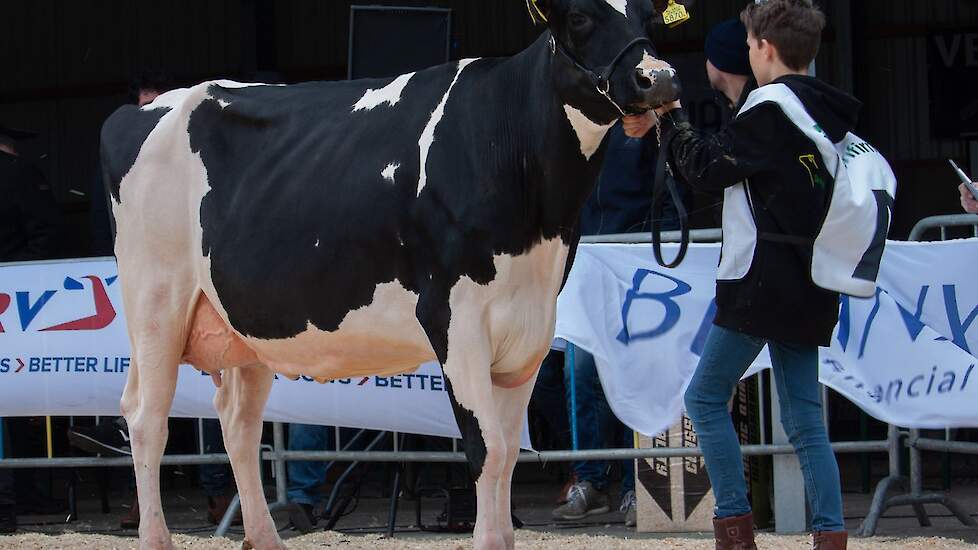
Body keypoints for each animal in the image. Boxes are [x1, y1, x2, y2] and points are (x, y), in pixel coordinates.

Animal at [97, 2, 688, 548]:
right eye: (582, 18)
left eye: (649, 15)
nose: (659, 78)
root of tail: (143, 108)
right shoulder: (455, 320)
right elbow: (489, 450)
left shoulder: (530, 332)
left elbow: (507, 456)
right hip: (156, 300)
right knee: (146, 417)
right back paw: (157, 536)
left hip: (247, 322)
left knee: (237, 422)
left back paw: (263, 536)